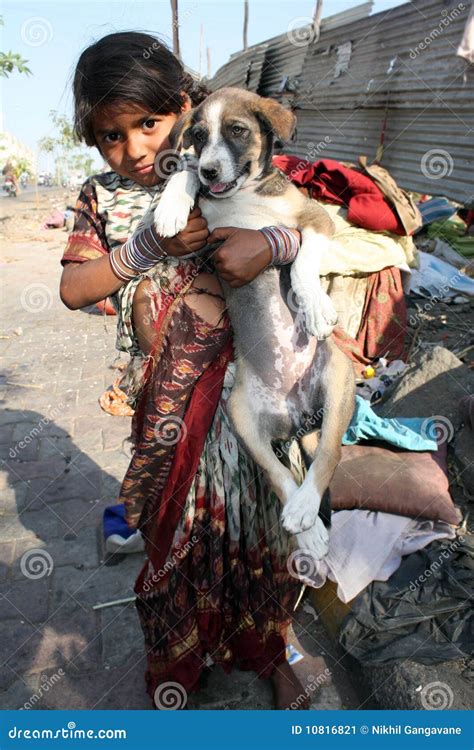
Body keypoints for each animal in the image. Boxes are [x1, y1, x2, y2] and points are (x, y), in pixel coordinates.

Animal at [153, 88, 356, 560]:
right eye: (197, 135)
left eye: (237, 131)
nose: (211, 170)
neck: (242, 195)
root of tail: (298, 417)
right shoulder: (204, 246)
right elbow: (183, 171)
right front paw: (172, 205)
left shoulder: (318, 219)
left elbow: (302, 258)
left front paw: (313, 303)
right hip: (240, 413)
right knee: (278, 475)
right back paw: (307, 526)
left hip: (340, 375)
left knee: (330, 454)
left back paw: (308, 509)